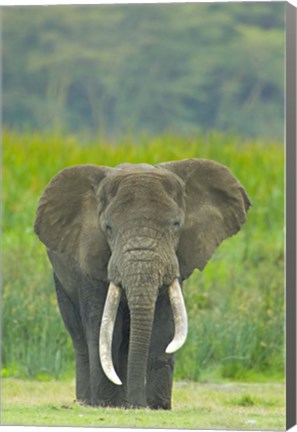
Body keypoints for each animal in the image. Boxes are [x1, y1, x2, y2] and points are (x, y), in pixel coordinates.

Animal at [33, 158, 250, 408]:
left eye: (176, 225)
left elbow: (164, 328)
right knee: (79, 335)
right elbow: (103, 329)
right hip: (61, 279)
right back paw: (90, 402)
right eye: (108, 228)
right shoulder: (89, 260)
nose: (139, 406)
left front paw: (157, 407)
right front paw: (106, 404)